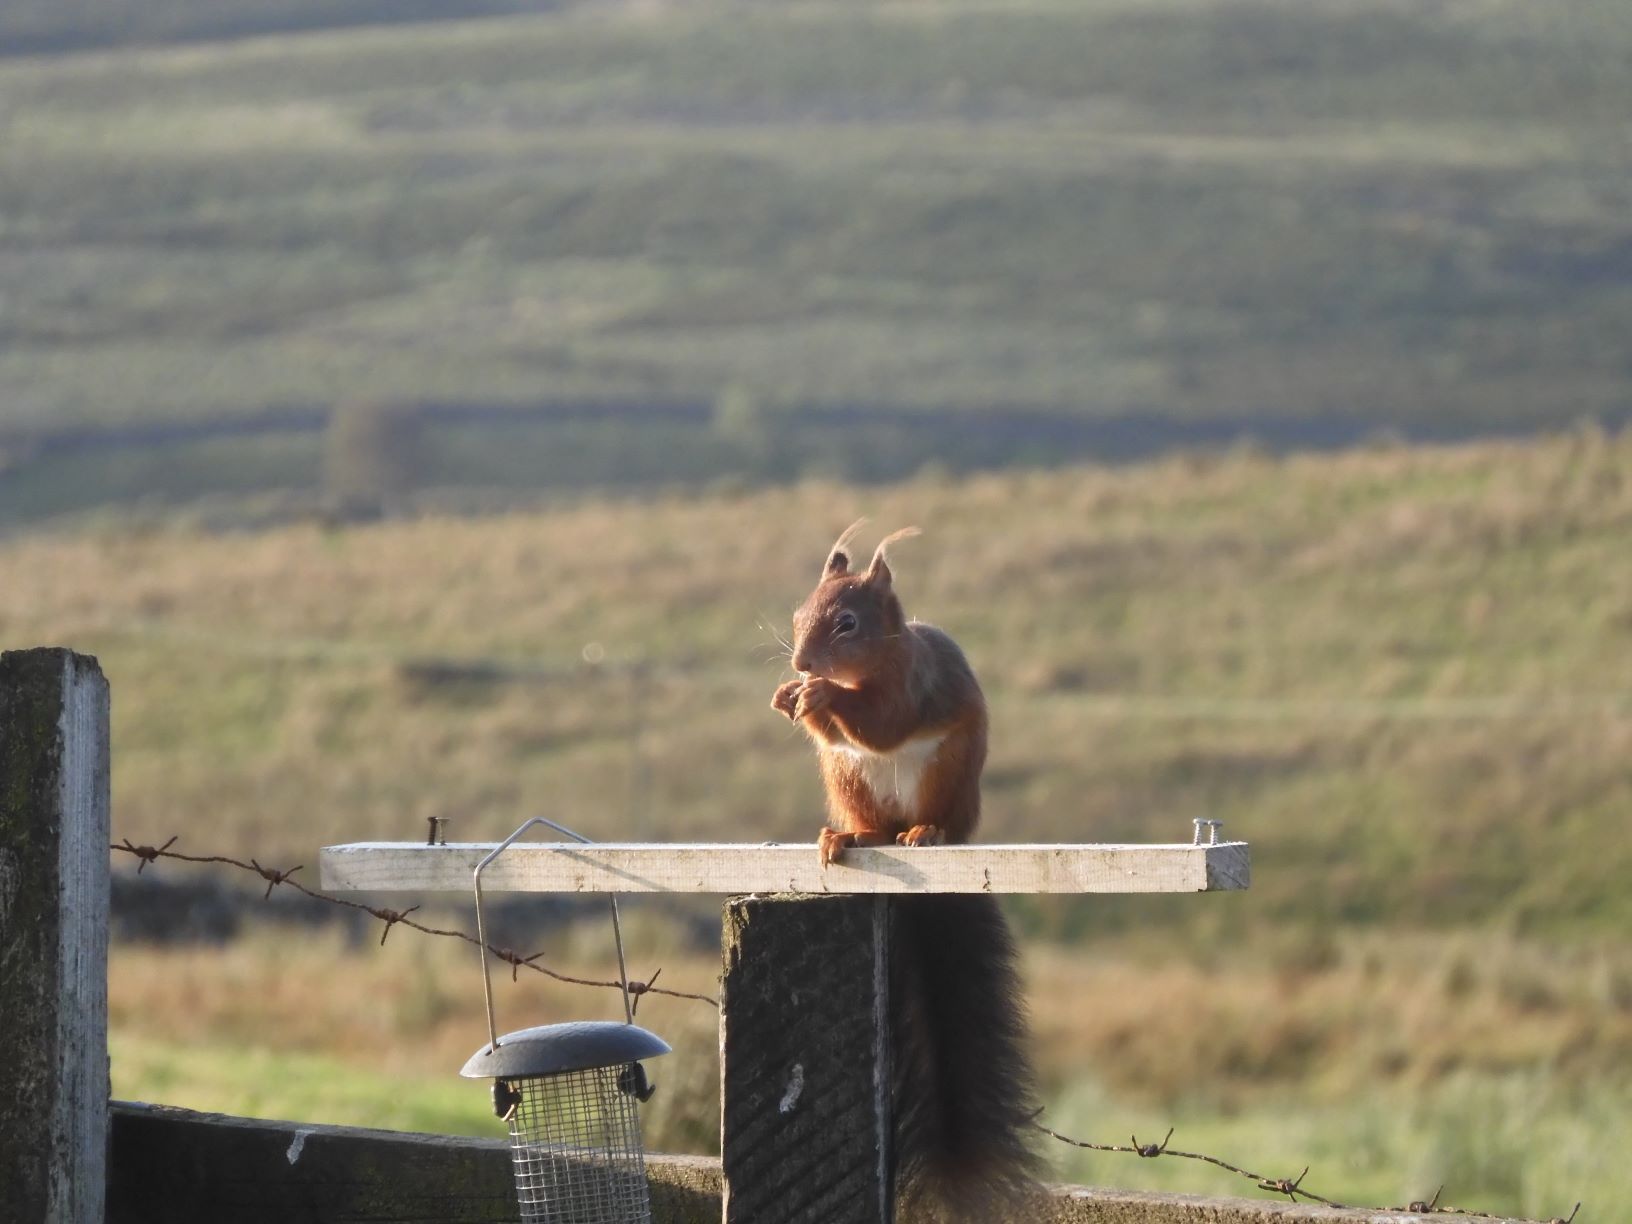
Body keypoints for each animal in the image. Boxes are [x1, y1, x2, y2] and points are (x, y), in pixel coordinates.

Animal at [771, 520, 1041, 1221]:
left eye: (847, 623)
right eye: (797, 614)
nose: (800, 666)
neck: (874, 666)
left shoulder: (910, 687)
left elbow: (881, 723)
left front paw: (821, 696)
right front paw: (787, 698)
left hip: (946, 774)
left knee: (928, 816)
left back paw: (925, 833)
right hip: (847, 779)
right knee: (869, 823)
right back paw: (847, 835)